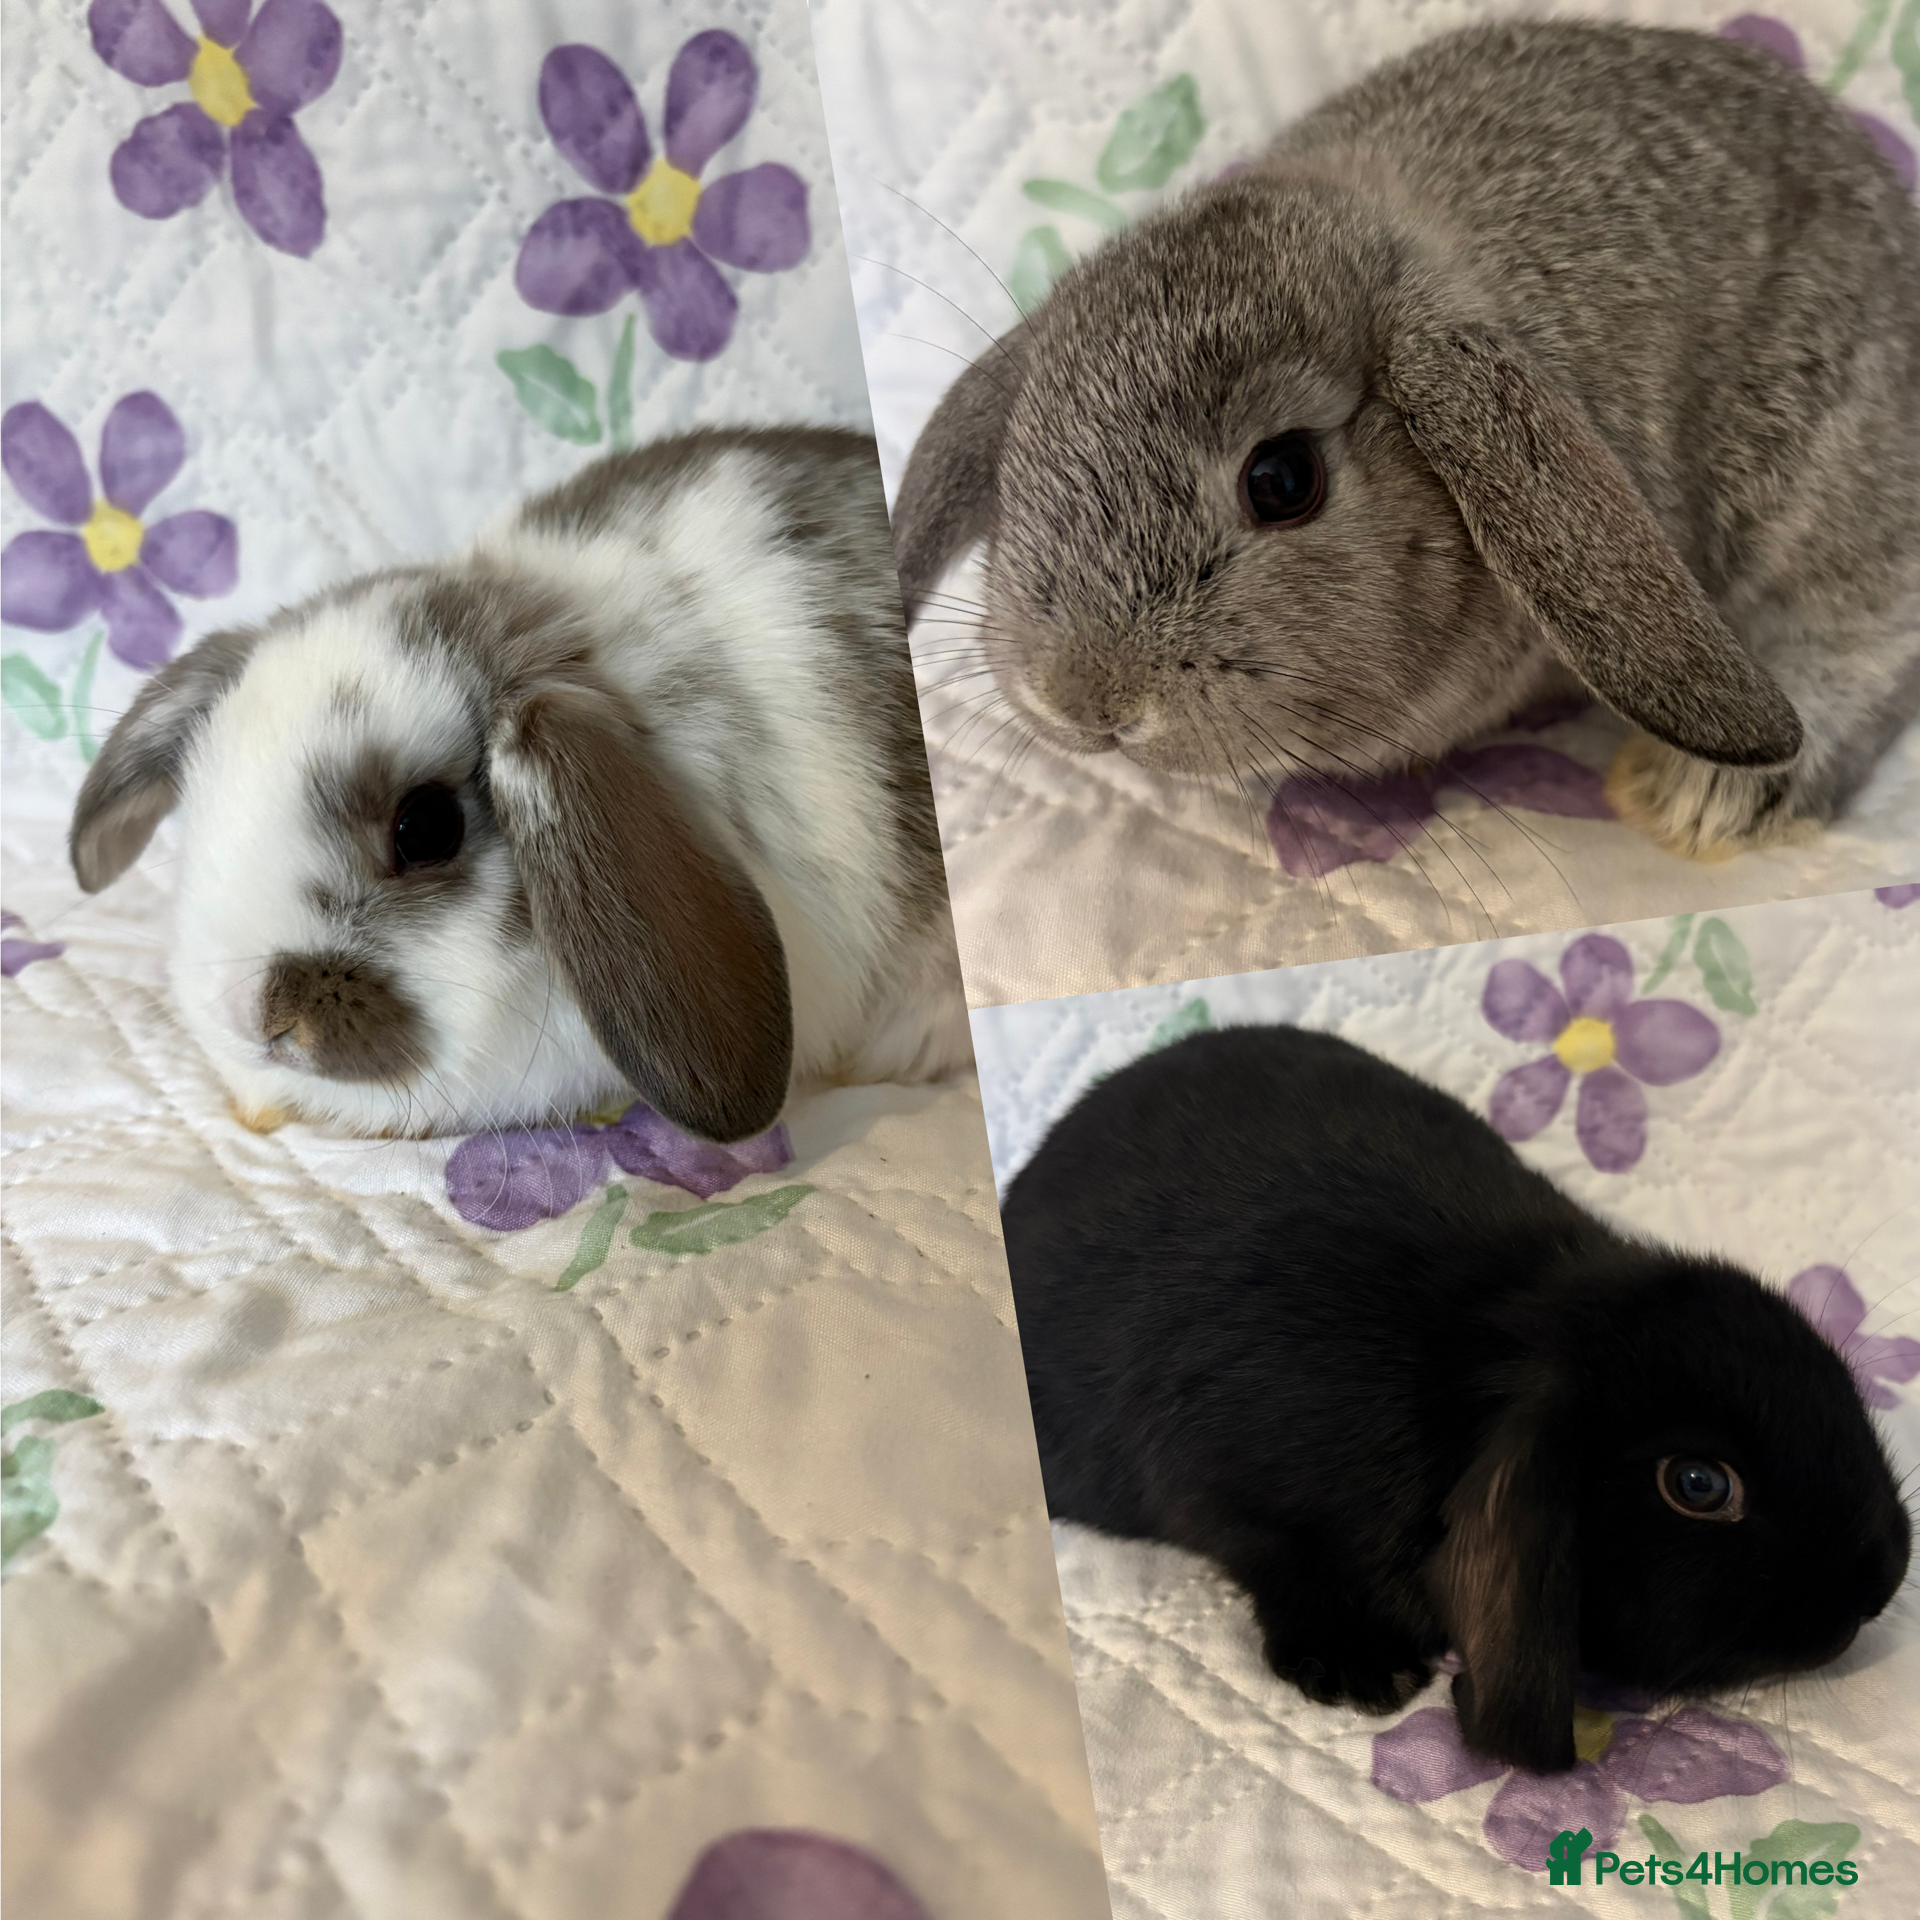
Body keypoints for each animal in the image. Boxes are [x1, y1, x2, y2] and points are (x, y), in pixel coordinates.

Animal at [1001, 1023, 1911, 1773]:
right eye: (1698, 1484)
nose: (1883, 1581)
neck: (1483, 1360)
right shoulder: (1226, 1490)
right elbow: (1260, 1548)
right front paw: (1362, 1671)